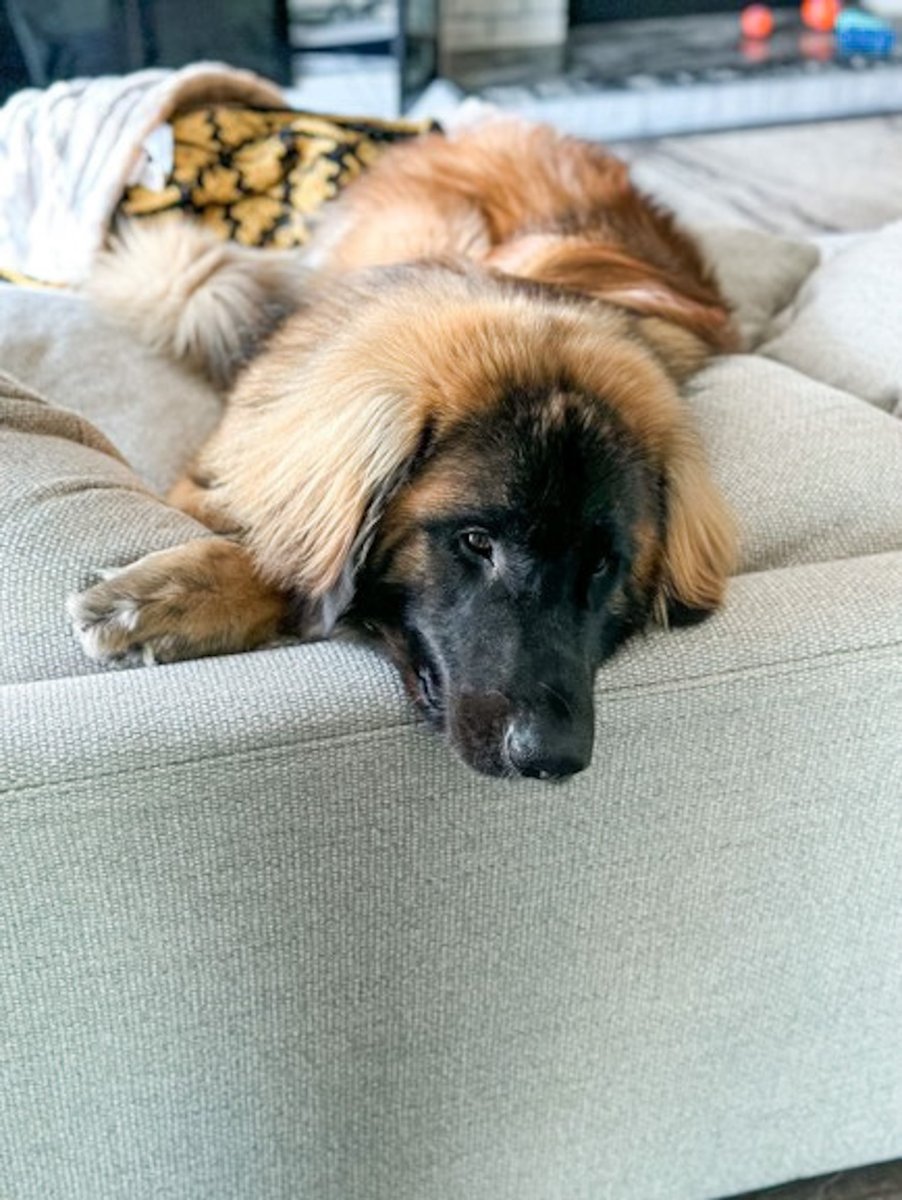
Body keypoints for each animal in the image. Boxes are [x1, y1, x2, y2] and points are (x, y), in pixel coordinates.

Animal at [70, 117, 734, 782]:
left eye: (602, 564)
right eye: (476, 542)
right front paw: (169, 597)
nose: (551, 757)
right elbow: (298, 553)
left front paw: (172, 601)